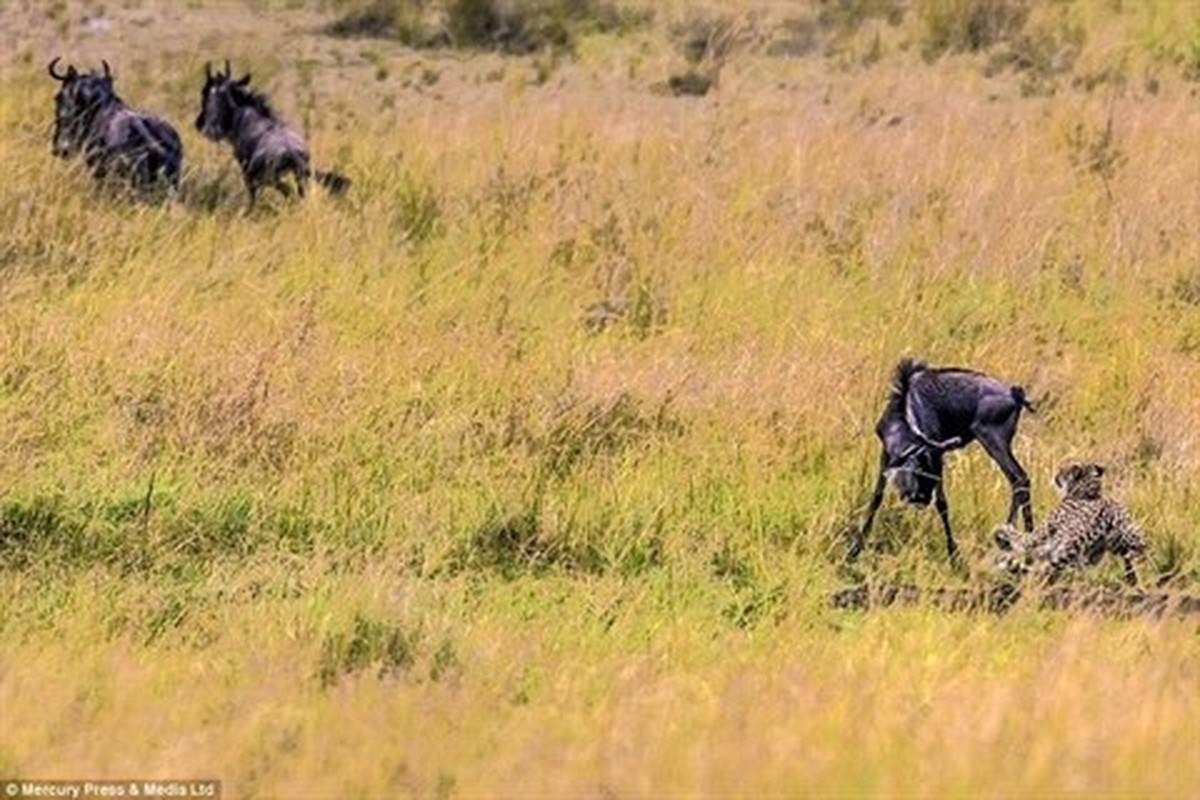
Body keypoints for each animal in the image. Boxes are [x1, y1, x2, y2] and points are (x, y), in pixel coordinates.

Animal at [192, 61, 350, 209]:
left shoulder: (248, 175)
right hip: (300, 179)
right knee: (298, 195)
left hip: (272, 179)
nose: (199, 123)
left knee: (288, 193)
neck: (247, 118)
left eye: (204, 93)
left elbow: (252, 199)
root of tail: (293, 153)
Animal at [849, 357, 1036, 563]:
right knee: (1021, 479)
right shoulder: (888, 455)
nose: (920, 500)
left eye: (923, 471)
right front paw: (854, 550)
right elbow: (876, 498)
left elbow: (942, 504)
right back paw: (1028, 535)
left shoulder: (936, 456)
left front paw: (954, 556)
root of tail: (1014, 393)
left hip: (992, 439)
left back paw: (1009, 538)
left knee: (1018, 478)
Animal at [988, 460, 1147, 585]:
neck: (1089, 493)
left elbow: (1019, 536)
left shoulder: (1039, 536)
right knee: (1132, 558)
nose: (1056, 476)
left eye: (1062, 471)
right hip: (1124, 542)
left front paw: (1002, 531)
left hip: (1051, 546)